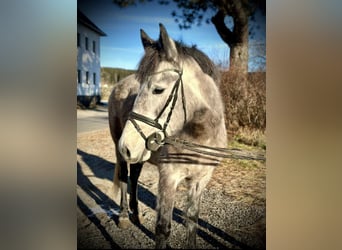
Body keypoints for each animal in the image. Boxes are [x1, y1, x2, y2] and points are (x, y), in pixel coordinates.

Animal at [109, 23, 227, 248]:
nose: (126, 145)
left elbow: (192, 221)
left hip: (140, 156)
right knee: (123, 177)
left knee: (134, 177)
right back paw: (124, 216)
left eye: (158, 89)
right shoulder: (168, 178)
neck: (199, 138)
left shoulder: (200, 180)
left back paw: (136, 214)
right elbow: (163, 229)